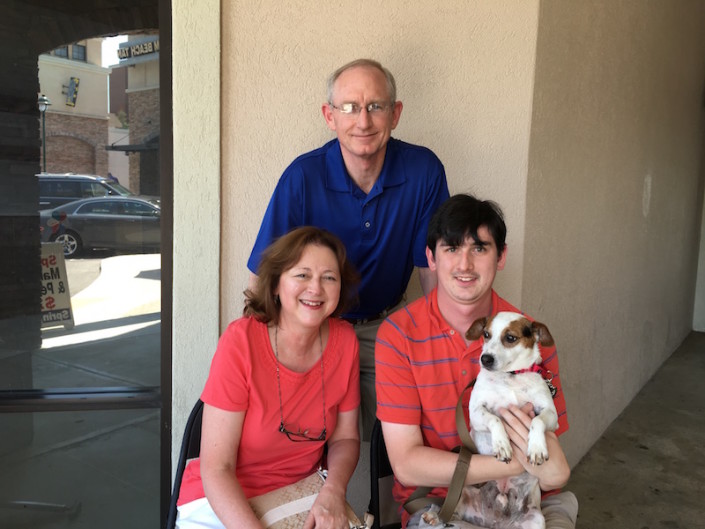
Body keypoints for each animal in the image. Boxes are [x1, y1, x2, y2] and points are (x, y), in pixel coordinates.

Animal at [418, 310, 556, 528]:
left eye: (510, 338)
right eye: (486, 334)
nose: (485, 359)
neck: (510, 377)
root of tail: (495, 523)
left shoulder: (550, 413)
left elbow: (537, 421)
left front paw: (536, 447)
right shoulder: (476, 413)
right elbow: (495, 420)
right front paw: (502, 444)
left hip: (536, 519)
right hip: (462, 495)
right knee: (452, 513)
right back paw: (436, 515)